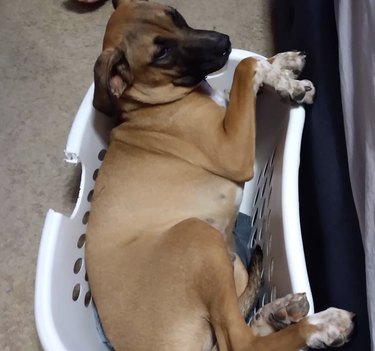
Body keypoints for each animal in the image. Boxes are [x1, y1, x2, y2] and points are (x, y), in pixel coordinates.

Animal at [85, 1, 356, 350]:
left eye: (174, 13)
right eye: (162, 53)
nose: (224, 43)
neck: (152, 103)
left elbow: (250, 72)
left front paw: (283, 67)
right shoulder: (233, 150)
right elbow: (247, 67)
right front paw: (284, 80)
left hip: (230, 265)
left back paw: (277, 312)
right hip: (198, 236)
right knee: (240, 341)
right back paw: (320, 325)